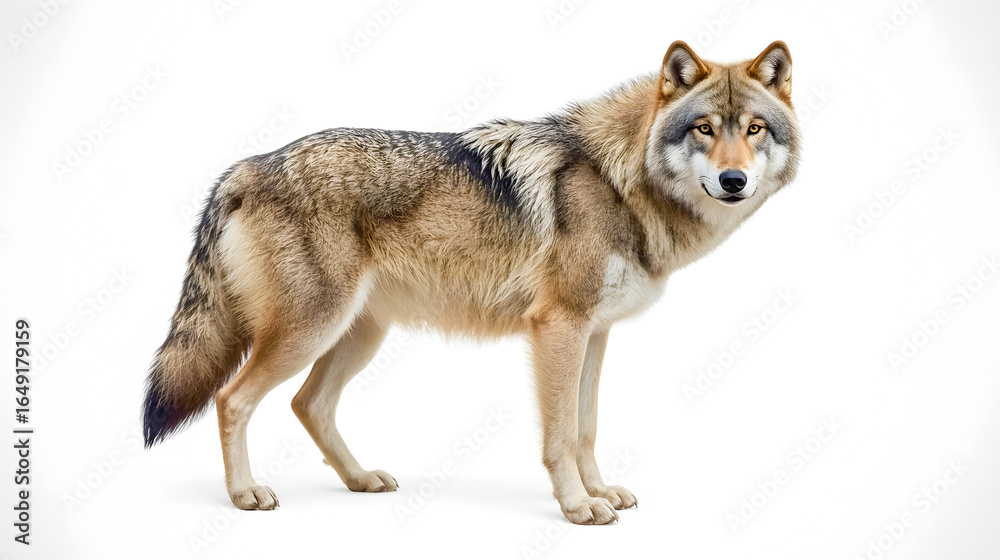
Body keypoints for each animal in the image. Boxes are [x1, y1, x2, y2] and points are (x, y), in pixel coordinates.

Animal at [142, 40, 801, 525]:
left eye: (755, 129)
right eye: (705, 129)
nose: (735, 181)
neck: (620, 179)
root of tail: (246, 165)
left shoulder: (595, 333)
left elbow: (586, 428)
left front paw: (599, 491)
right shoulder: (557, 328)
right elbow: (560, 436)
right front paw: (577, 507)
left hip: (357, 336)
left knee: (309, 404)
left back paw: (360, 480)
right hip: (310, 330)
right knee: (233, 398)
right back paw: (245, 495)